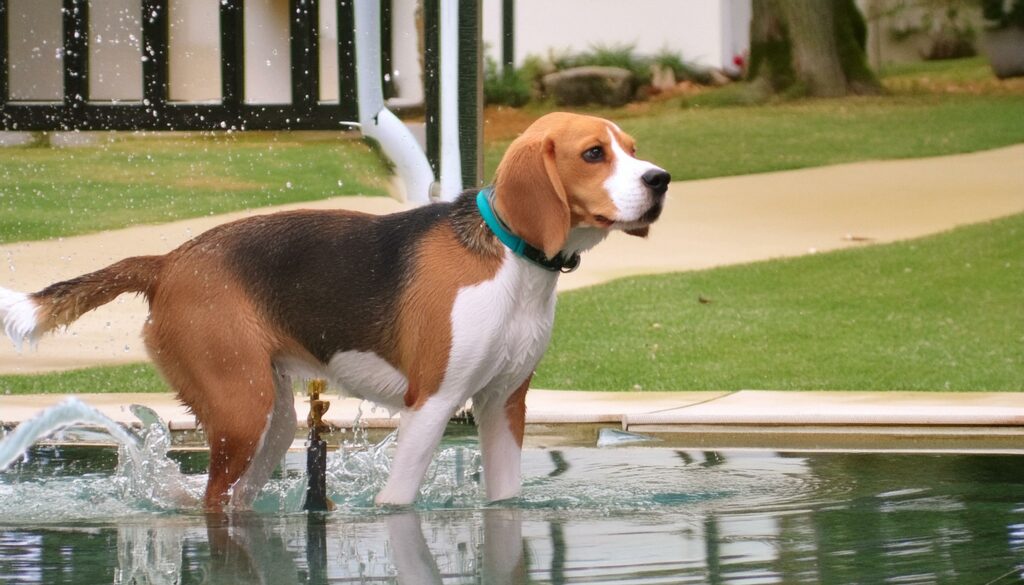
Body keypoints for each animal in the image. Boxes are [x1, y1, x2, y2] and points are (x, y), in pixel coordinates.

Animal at [0, 112, 667, 510]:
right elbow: (397, 500)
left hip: (271, 422)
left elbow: (504, 498)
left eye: (633, 150)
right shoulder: (434, 404)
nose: (660, 179)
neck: (509, 258)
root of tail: (168, 260)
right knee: (215, 500)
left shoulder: (504, 404)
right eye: (593, 154)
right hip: (241, 411)